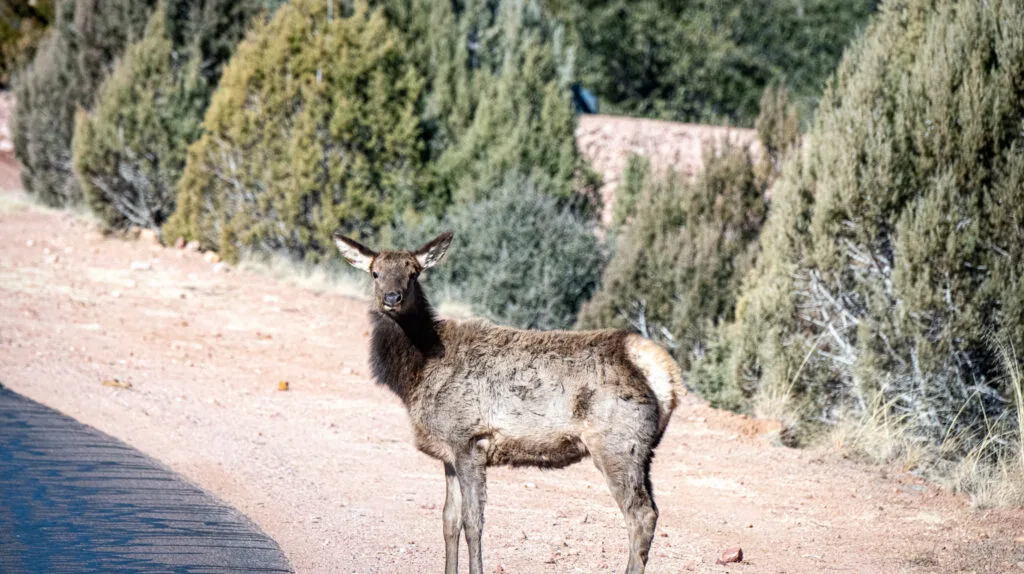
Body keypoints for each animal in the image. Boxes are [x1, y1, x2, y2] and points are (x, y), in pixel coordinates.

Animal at [334, 230, 685, 574]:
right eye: (375, 272)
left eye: (414, 272)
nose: (392, 298)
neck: (414, 375)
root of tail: (663, 371)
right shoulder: (448, 452)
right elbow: (448, 521)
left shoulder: (469, 441)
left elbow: (472, 522)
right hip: (643, 452)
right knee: (652, 511)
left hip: (617, 445)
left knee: (641, 514)